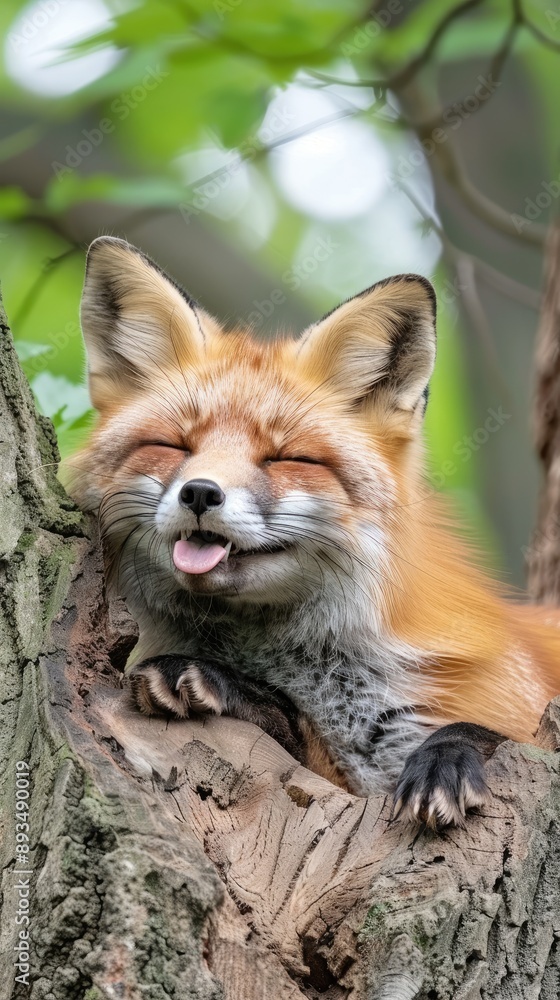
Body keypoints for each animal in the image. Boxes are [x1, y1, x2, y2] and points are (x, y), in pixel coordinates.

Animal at [69, 236, 560, 830]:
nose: (200, 494)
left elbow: (491, 733)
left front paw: (447, 758)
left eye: (288, 458)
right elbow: (298, 731)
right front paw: (236, 688)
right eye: (172, 446)